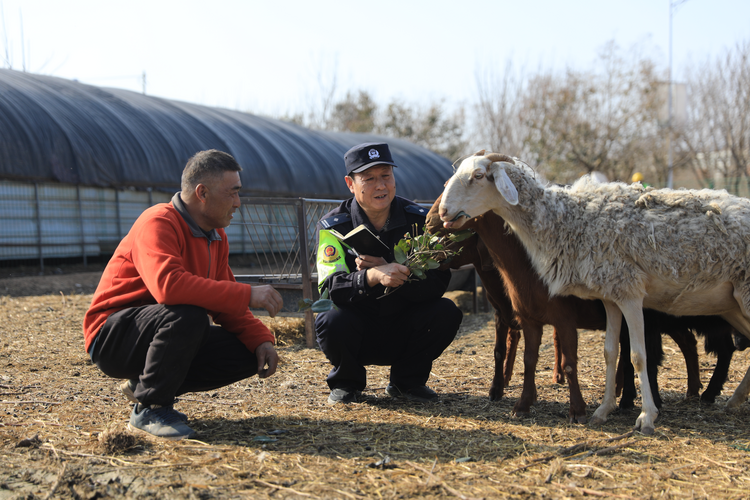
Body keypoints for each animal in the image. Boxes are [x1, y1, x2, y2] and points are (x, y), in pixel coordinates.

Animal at [440, 150, 750, 436]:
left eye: (478, 175)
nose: (442, 212)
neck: (569, 220)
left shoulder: (630, 292)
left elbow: (638, 356)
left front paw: (646, 417)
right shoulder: (610, 296)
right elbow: (610, 353)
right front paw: (603, 410)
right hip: (732, 304)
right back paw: (733, 401)